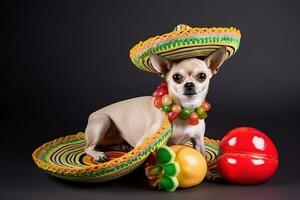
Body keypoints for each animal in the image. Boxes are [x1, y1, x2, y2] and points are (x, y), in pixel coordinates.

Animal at [83, 46, 226, 162]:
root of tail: (92, 114)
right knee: (89, 147)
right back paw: (98, 154)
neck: (184, 110)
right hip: (102, 121)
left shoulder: (198, 141)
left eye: (202, 76)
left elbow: (203, 158)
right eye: (176, 77)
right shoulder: (147, 142)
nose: (189, 84)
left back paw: (121, 145)